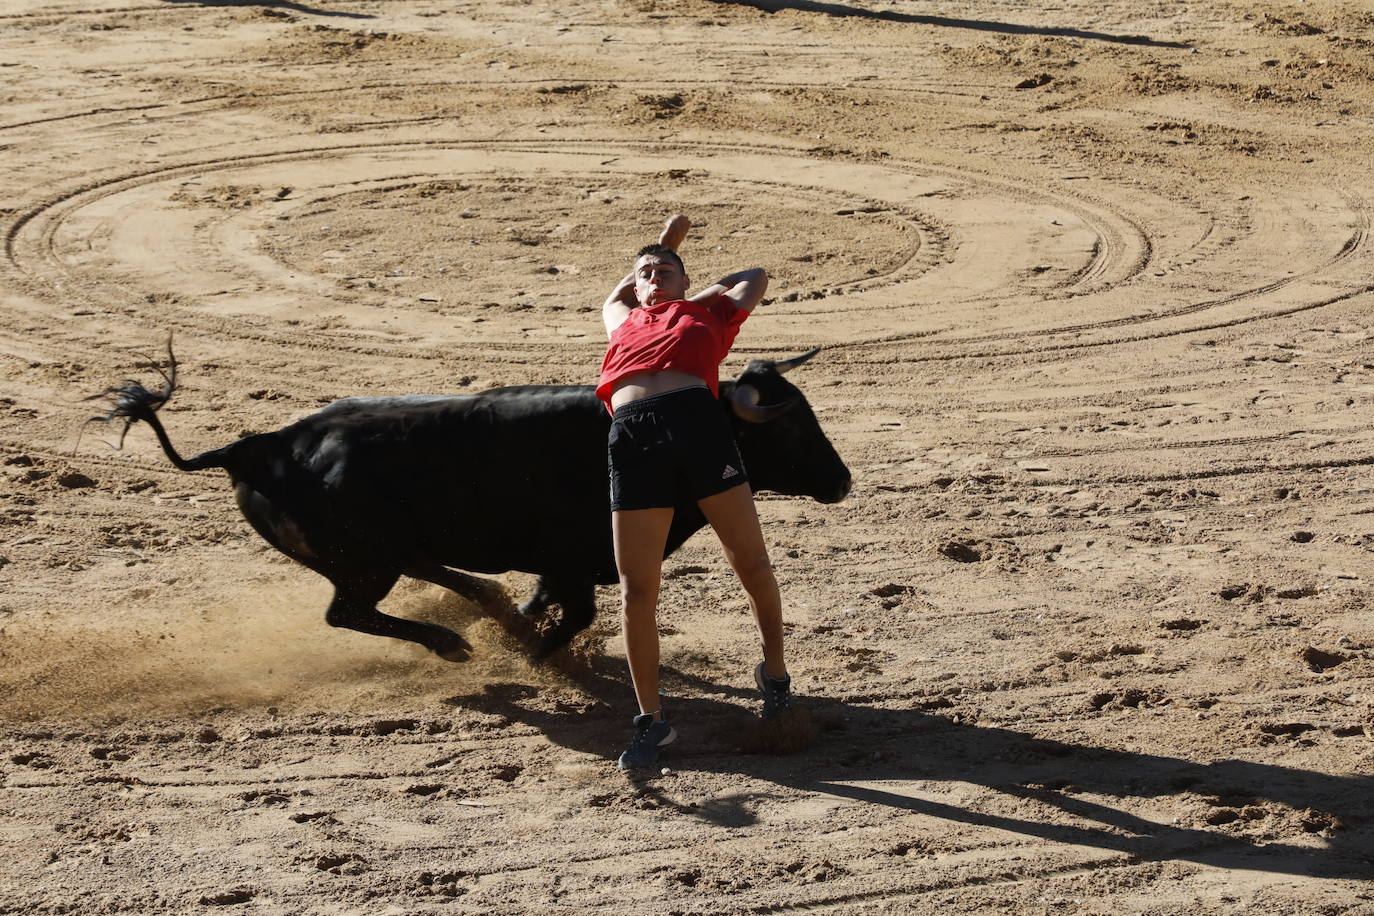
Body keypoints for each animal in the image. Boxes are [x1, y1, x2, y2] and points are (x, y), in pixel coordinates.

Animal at [94, 348, 846, 659]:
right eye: (786, 426)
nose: (841, 480)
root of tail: (261, 448)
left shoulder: (562, 564)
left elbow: (546, 600)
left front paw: (523, 627)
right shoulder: (576, 560)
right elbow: (573, 616)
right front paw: (538, 659)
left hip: (380, 554)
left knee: (430, 577)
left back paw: (485, 605)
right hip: (364, 562)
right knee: (348, 613)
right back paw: (453, 643)